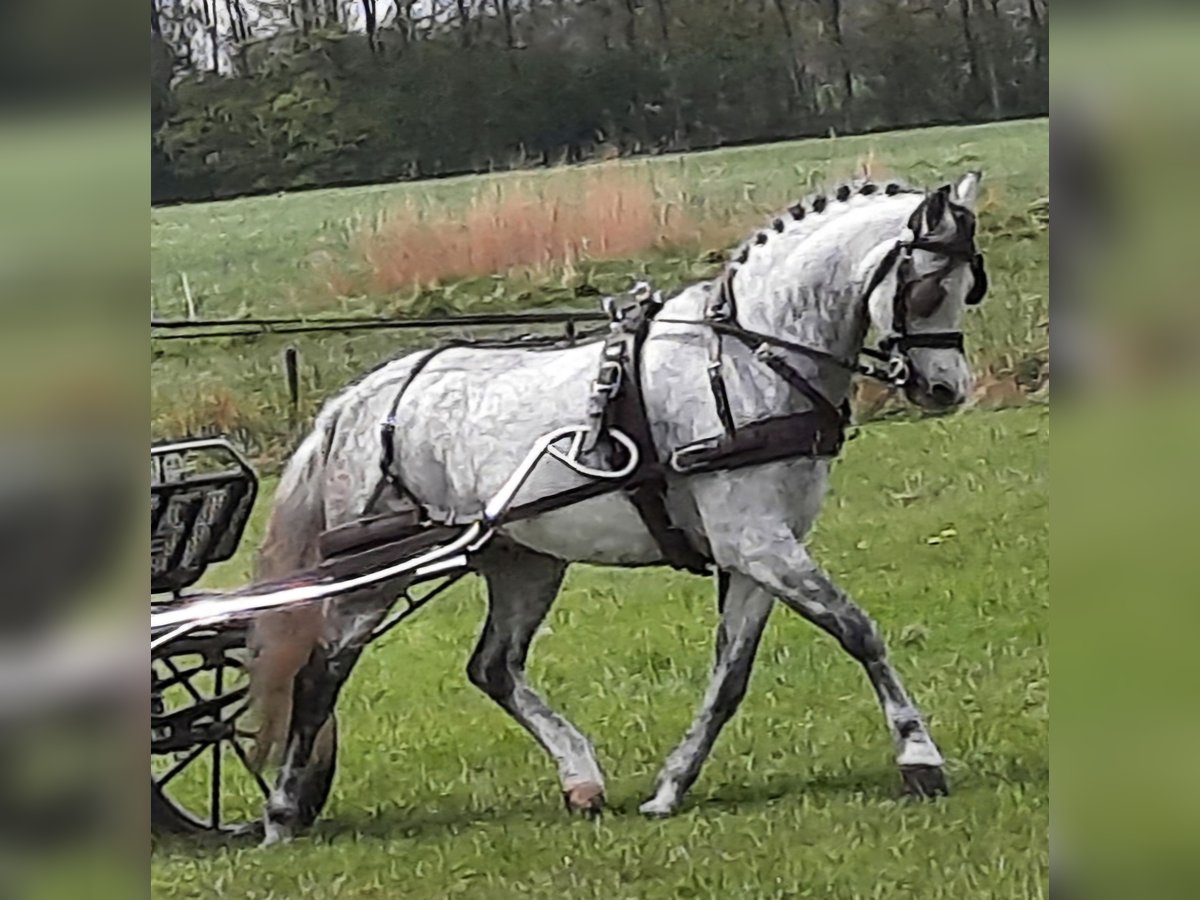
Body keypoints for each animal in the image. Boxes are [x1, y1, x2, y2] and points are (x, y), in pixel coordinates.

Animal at [250, 172, 984, 849]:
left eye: (970, 286)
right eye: (925, 288)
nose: (948, 389)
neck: (748, 361)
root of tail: (357, 401)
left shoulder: (756, 554)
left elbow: (730, 678)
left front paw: (670, 786)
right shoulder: (757, 542)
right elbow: (857, 630)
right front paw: (919, 757)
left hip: (523, 560)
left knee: (493, 668)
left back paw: (581, 779)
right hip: (374, 575)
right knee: (320, 675)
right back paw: (281, 812)